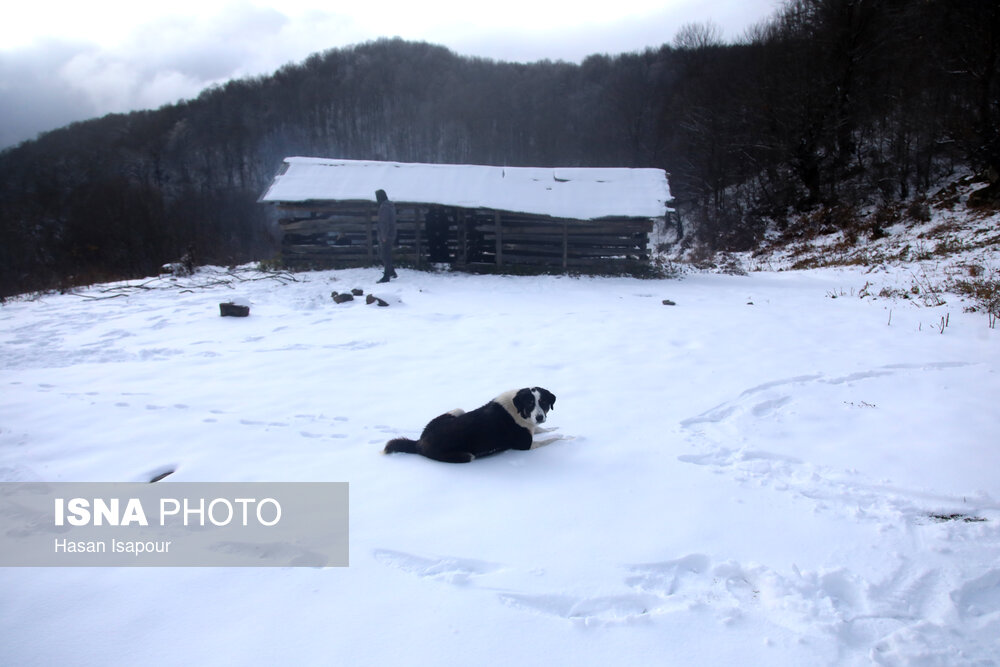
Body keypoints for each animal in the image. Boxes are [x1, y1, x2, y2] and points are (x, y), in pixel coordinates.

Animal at [384, 386, 564, 464]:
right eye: (529, 404)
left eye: (544, 403)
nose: (540, 417)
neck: (517, 409)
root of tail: (419, 443)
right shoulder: (525, 446)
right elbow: (550, 439)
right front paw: (563, 436)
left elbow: (541, 429)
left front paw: (553, 428)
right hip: (466, 456)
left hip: (457, 410)